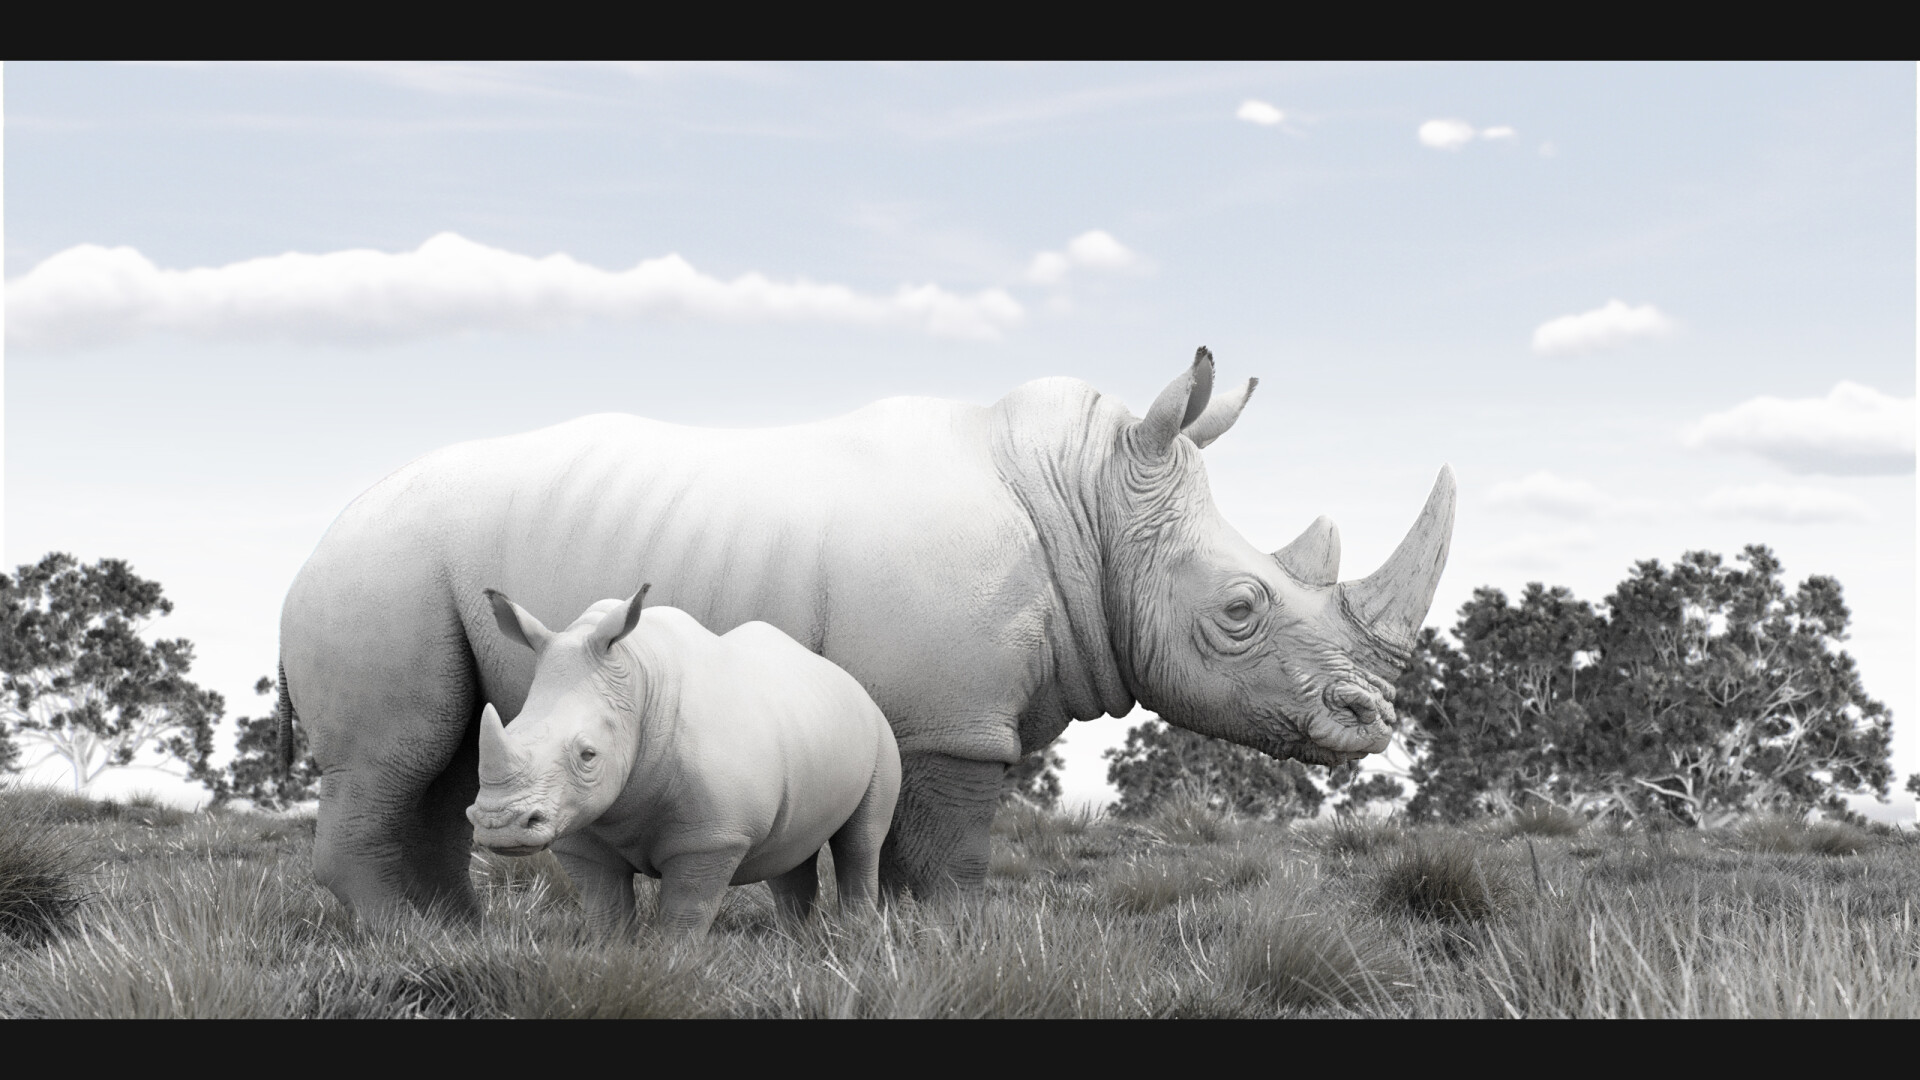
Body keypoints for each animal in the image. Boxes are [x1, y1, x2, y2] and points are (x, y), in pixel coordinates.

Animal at [468, 586, 900, 936]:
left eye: (588, 755)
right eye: (511, 728)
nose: (498, 826)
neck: (637, 681)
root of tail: (851, 682)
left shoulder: (712, 839)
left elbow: (686, 915)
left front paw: (676, 966)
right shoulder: (581, 830)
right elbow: (605, 911)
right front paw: (612, 958)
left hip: (881, 729)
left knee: (861, 842)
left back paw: (855, 938)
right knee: (789, 850)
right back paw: (794, 941)